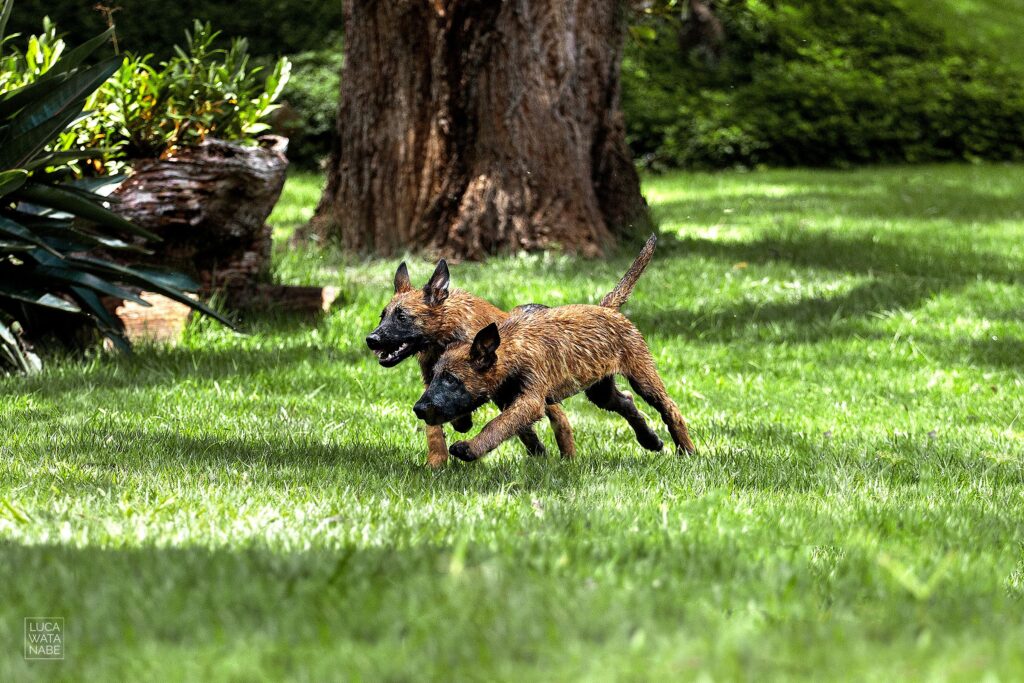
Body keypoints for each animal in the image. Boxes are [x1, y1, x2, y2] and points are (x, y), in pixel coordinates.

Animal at [366, 259, 577, 466]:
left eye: (402, 317)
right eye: (382, 316)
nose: (371, 339)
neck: (444, 336)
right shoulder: (432, 384)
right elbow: (433, 428)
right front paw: (437, 460)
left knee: (556, 417)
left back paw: (566, 455)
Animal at [415, 232, 696, 462]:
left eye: (452, 380)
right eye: (434, 376)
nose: (419, 409)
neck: (511, 351)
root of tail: (607, 308)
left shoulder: (530, 400)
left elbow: (497, 426)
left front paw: (470, 448)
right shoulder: (510, 400)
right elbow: (516, 428)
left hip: (642, 375)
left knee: (669, 408)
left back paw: (687, 450)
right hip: (600, 389)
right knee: (626, 401)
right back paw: (650, 440)